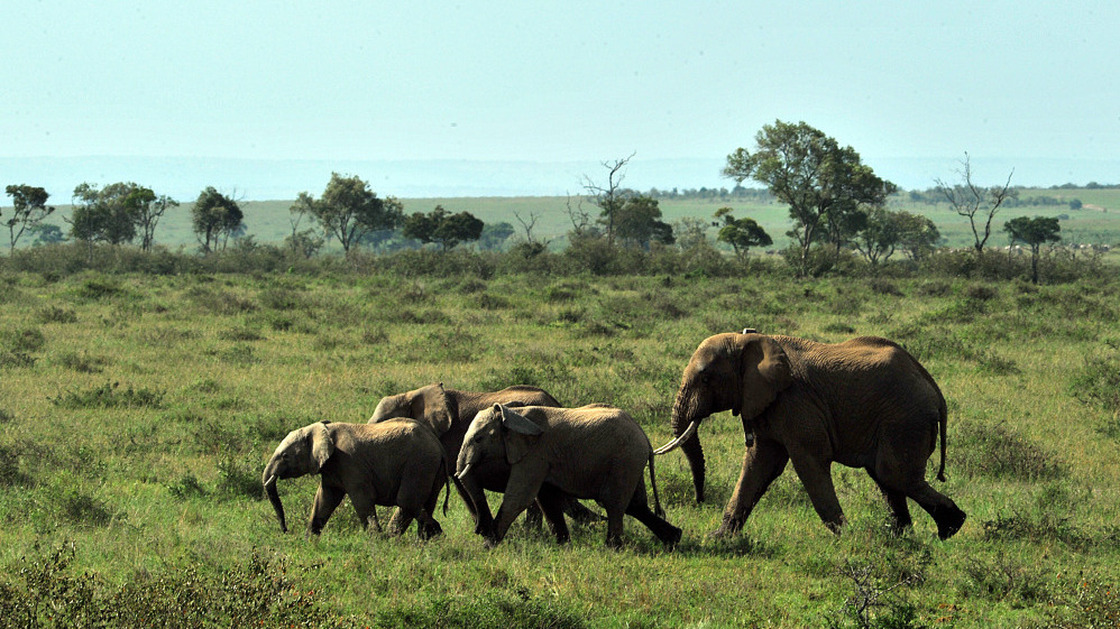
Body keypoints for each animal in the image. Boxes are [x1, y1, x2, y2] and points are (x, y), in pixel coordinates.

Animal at [262, 419, 449, 539]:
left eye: (285, 456)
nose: (285, 531)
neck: (324, 429)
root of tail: (439, 446)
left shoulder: (350, 462)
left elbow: (362, 499)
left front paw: (375, 540)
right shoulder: (332, 468)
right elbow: (324, 499)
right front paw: (309, 540)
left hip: (418, 463)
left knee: (406, 501)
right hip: (430, 468)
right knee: (424, 503)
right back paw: (427, 539)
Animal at [456, 403, 682, 548]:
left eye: (478, 439)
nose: (479, 530)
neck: (512, 414)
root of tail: (644, 436)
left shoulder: (535, 454)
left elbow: (518, 497)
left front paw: (488, 547)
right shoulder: (542, 458)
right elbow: (546, 498)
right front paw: (564, 545)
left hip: (624, 459)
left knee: (614, 502)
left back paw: (612, 548)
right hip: (631, 461)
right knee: (636, 505)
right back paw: (674, 539)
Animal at [656, 332, 966, 540]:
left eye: (706, 379)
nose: (699, 501)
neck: (748, 341)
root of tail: (934, 389)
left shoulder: (796, 403)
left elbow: (809, 464)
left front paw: (846, 538)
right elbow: (758, 466)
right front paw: (718, 538)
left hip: (905, 420)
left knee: (893, 474)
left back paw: (951, 527)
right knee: (887, 478)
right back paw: (903, 536)